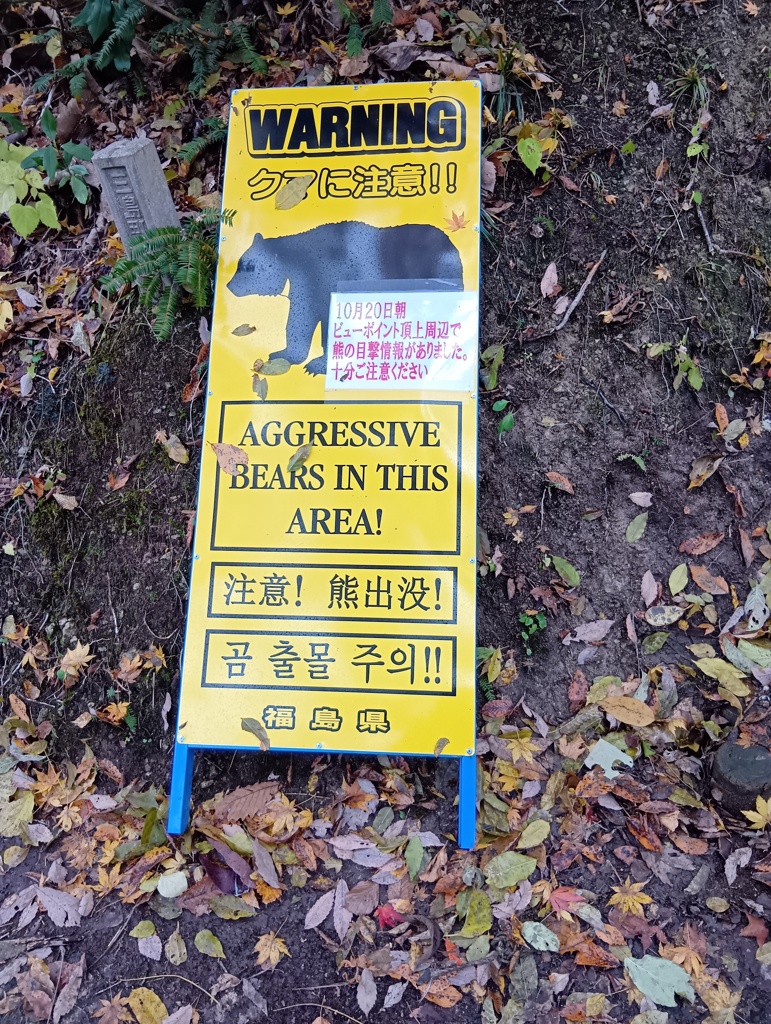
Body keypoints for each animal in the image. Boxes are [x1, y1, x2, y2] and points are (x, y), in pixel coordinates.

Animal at [227, 221, 464, 376]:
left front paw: (319, 365)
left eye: (248, 266)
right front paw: (283, 354)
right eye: (240, 262)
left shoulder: (330, 276)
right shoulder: (304, 283)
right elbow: (301, 318)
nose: (229, 286)